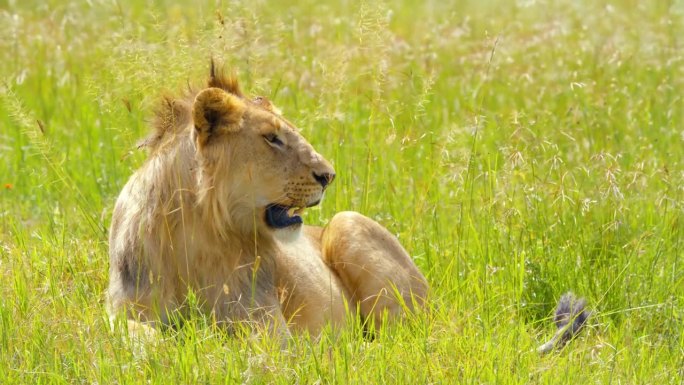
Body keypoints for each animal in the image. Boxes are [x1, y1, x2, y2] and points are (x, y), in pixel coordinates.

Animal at [107, 61, 428, 338]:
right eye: (272, 138)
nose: (329, 175)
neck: (196, 233)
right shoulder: (122, 310)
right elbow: (137, 335)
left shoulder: (266, 323)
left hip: (346, 223)